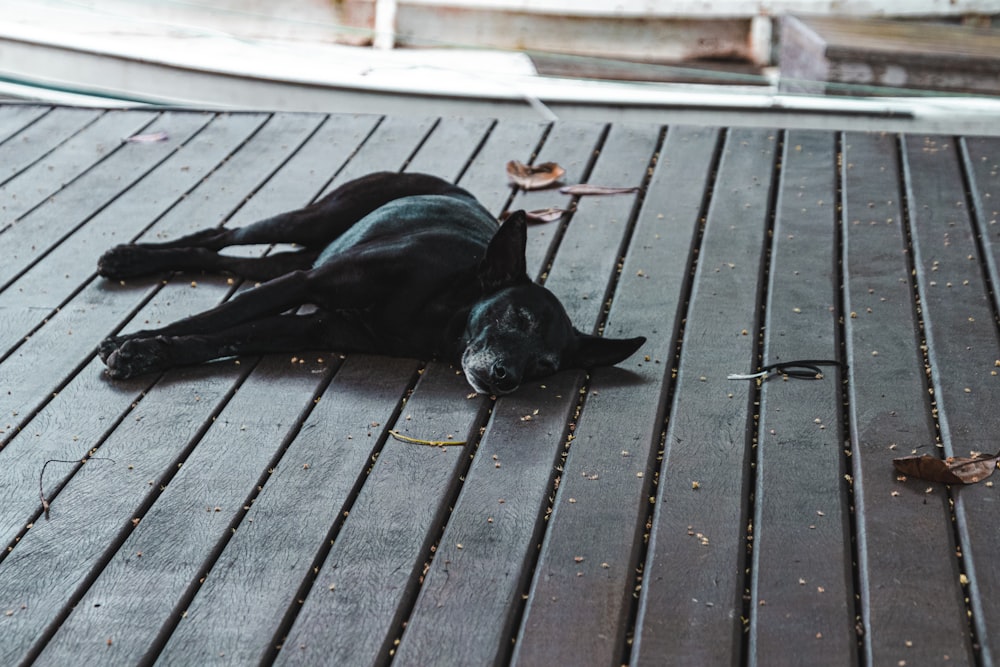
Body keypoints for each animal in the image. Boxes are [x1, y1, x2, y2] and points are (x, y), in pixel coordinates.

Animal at [97, 172, 644, 396]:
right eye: (518, 315)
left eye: (545, 366)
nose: (506, 377)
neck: (437, 310)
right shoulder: (304, 284)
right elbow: (212, 317)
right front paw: (132, 340)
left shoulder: (307, 327)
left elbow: (217, 339)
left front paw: (148, 353)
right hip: (310, 223)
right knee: (223, 233)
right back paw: (126, 257)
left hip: (293, 258)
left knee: (221, 256)